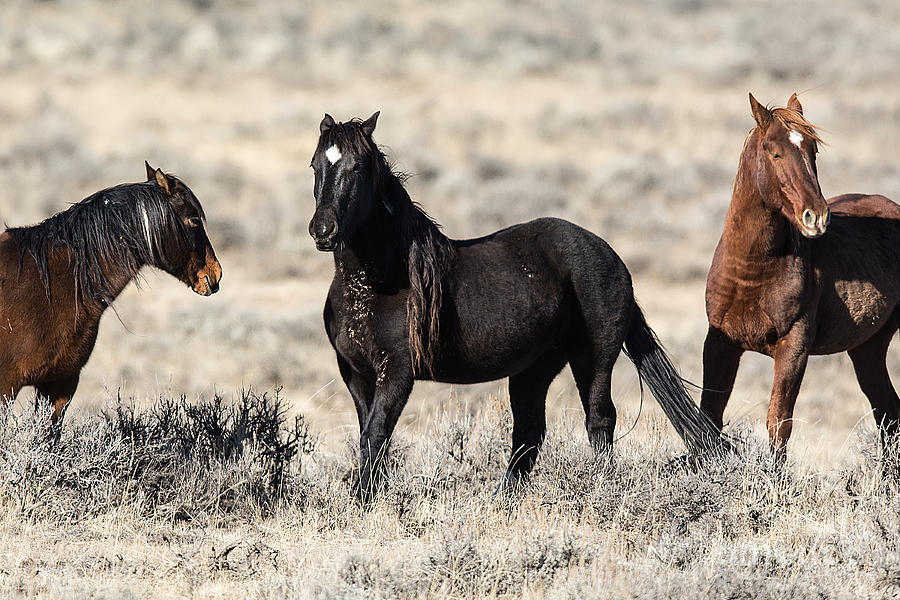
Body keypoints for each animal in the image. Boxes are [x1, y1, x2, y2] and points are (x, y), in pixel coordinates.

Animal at [310, 112, 724, 502]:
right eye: (315, 165)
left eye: (357, 166)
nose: (322, 230)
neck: (380, 281)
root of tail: (611, 256)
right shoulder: (355, 373)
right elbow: (368, 434)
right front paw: (367, 496)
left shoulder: (397, 372)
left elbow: (377, 432)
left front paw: (362, 500)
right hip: (534, 368)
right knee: (530, 432)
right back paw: (503, 501)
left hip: (594, 356)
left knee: (599, 419)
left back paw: (600, 488)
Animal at [704, 92, 900, 454]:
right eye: (775, 152)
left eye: (813, 151)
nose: (816, 217)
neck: (750, 273)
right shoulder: (720, 342)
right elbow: (708, 415)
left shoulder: (793, 347)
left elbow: (778, 423)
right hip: (868, 348)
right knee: (887, 413)